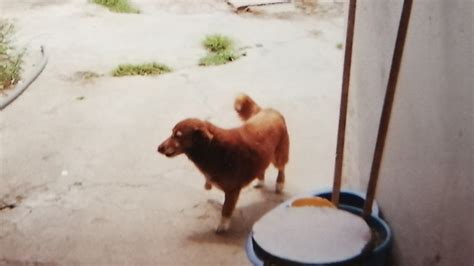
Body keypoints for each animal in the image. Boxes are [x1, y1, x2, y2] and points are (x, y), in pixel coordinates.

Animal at [158, 93, 288, 233]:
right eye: (172, 133)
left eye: (178, 136)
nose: (158, 148)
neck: (211, 149)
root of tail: (267, 110)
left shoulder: (232, 191)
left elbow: (226, 210)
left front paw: (222, 225)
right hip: (263, 155)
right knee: (262, 167)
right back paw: (260, 181)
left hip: (278, 156)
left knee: (281, 168)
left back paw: (279, 184)